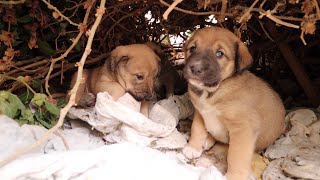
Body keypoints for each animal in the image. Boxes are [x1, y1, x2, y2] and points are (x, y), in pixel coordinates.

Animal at [182, 27, 284, 180]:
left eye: (220, 53)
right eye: (192, 48)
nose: (195, 68)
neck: (213, 91)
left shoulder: (243, 128)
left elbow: (236, 155)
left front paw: (234, 176)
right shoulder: (200, 112)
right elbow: (197, 129)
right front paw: (193, 147)